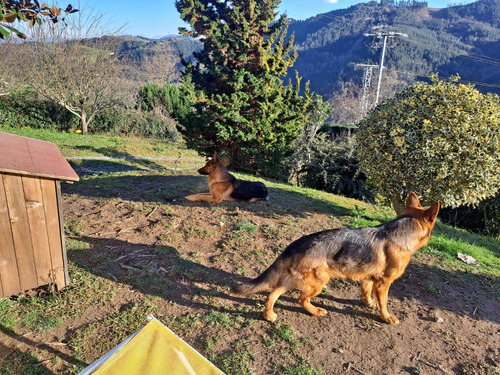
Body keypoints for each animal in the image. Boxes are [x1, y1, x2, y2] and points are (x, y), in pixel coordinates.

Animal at [232, 192, 440, 324]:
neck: (402, 232)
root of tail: (296, 243)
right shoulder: (383, 283)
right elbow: (384, 303)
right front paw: (386, 317)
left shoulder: (368, 278)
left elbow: (366, 293)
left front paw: (368, 304)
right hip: (319, 282)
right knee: (300, 299)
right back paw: (315, 312)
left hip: (294, 280)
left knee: (272, 294)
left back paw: (269, 315)